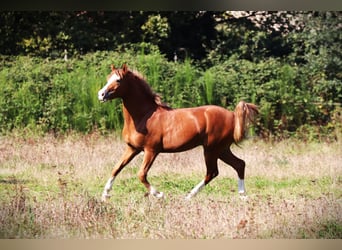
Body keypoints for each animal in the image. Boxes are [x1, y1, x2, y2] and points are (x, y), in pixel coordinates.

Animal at [97, 63, 258, 200]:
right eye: (108, 78)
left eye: (118, 80)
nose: (101, 94)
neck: (144, 116)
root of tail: (232, 116)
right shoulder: (132, 148)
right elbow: (116, 168)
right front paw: (105, 194)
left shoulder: (151, 150)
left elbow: (141, 174)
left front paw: (160, 194)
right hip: (222, 149)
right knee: (239, 164)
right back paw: (242, 196)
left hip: (211, 149)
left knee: (212, 172)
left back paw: (189, 196)